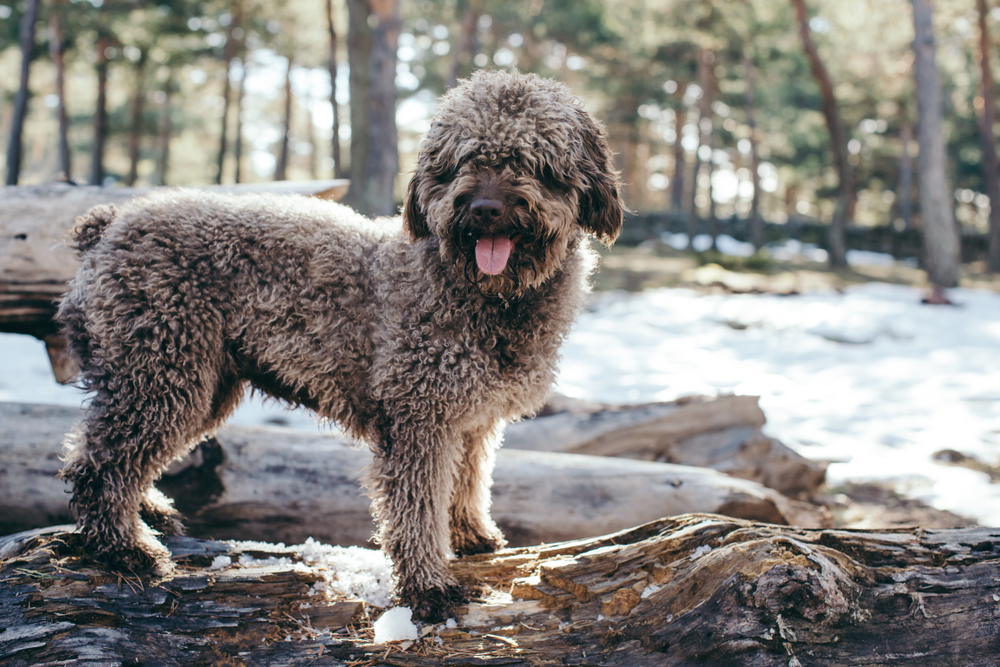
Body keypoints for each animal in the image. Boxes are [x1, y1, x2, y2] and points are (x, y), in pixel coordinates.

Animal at [58, 70, 620, 624]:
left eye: (533, 162)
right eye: (463, 160)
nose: (483, 209)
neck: (485, 293)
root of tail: (110, 227)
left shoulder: (473, 419)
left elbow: (466, 481)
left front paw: (469, 534)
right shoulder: (418, 417)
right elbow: (417, 510)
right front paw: (428, 586)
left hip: (200, 383)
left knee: (111, 452)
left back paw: (147, 511)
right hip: (162, 372)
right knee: (96, 465)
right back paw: (125, 548)